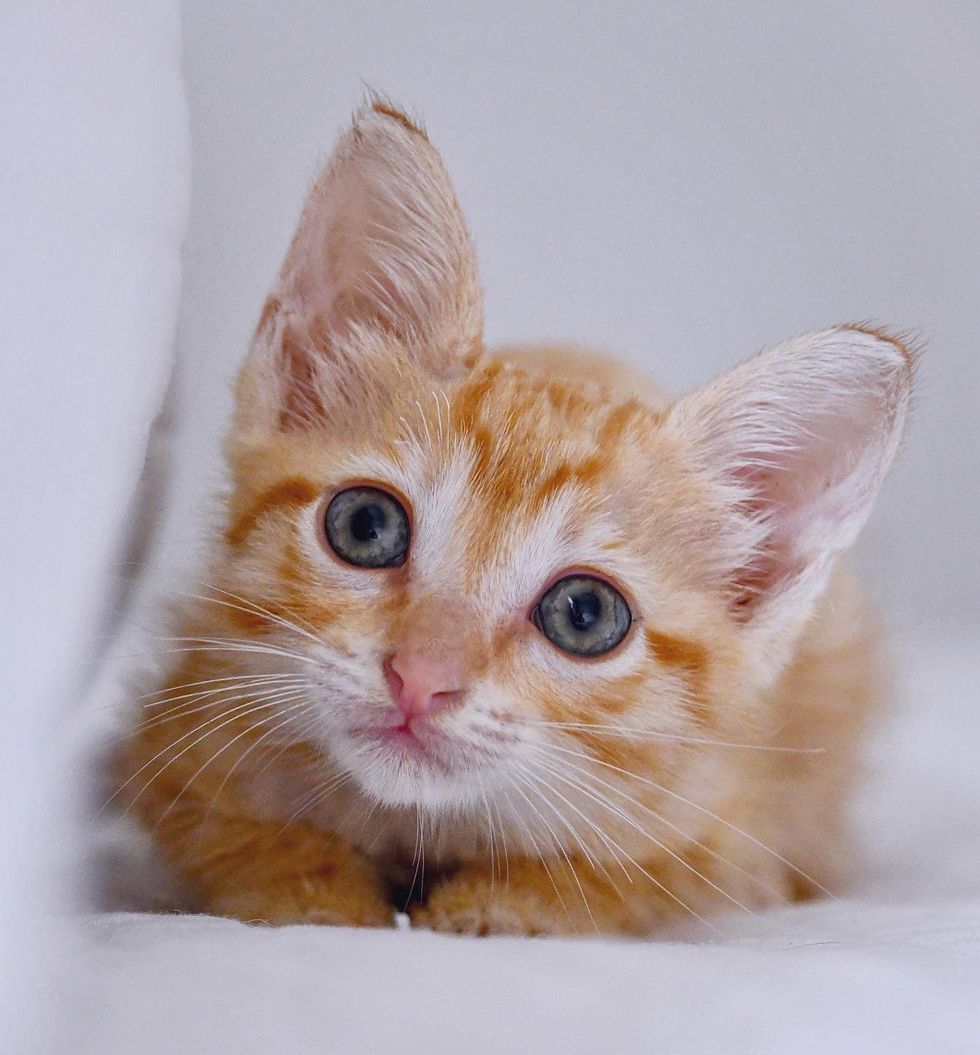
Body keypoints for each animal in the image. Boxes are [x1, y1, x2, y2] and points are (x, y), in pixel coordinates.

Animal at [118, 102, 915, 936]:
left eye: (585, 613)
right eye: (365, 526)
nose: (419, 680)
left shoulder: (739, 823)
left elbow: (640, 873)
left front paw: (504, 902)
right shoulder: (179, 716)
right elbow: (237, 830)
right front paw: (313, 895)